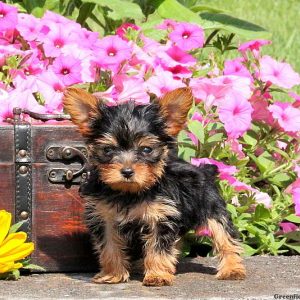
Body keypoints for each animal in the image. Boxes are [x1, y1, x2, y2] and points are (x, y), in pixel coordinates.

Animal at [63, 86, 246, 286]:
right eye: (108, 150)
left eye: (146, 149)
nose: (127, 171)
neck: (129, 192)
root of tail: (204, 169)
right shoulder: (104, 217)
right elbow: (110, 246)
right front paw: (113, 274)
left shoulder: (160, 217)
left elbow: (158, 247)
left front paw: (157, 275)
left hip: (212, 208)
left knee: (225, 238)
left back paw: (232, 268)